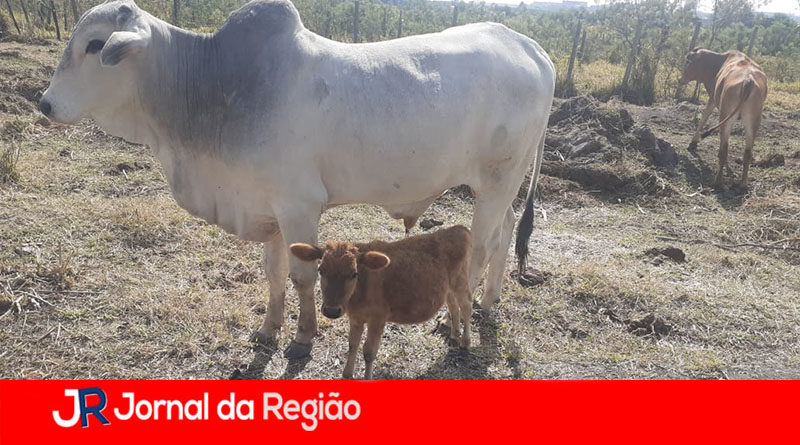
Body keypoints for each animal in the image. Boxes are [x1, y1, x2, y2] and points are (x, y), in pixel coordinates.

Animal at [39, 0, 555, 358]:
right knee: (507, 231)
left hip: (497, 180)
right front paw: (269, 328)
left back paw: (456, 321)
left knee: (483, 244)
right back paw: (489, 302)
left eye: (94, 45)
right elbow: (274, 272)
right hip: (502, 184)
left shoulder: (299, 205)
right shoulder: (267, 208)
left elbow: (303, 276)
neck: (214, 87)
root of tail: (527, 45)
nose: (44, 103)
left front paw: (305, 336)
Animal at [289, 225, 472, 379]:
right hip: (447, 287)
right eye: (321, 270)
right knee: (453, 306)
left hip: (461, 281)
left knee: (466, 306)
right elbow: (352, 344)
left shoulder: (378, 318)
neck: (361, 291)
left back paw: (466, 341)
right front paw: (347, 374)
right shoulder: (356, 318)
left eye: (354, 273)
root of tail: (459, 228)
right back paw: (454, 334)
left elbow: (369, 352)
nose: (331, 311)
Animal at [679, 48, 768, 188]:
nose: (679, 79)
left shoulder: (713, 98)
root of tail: (748, 80)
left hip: (725, 115)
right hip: (753, 121)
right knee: (747, 152)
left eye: (688, 61)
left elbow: (704, 117)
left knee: (724, 148)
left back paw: (718, 181)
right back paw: (743, 184)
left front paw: (693, 142)